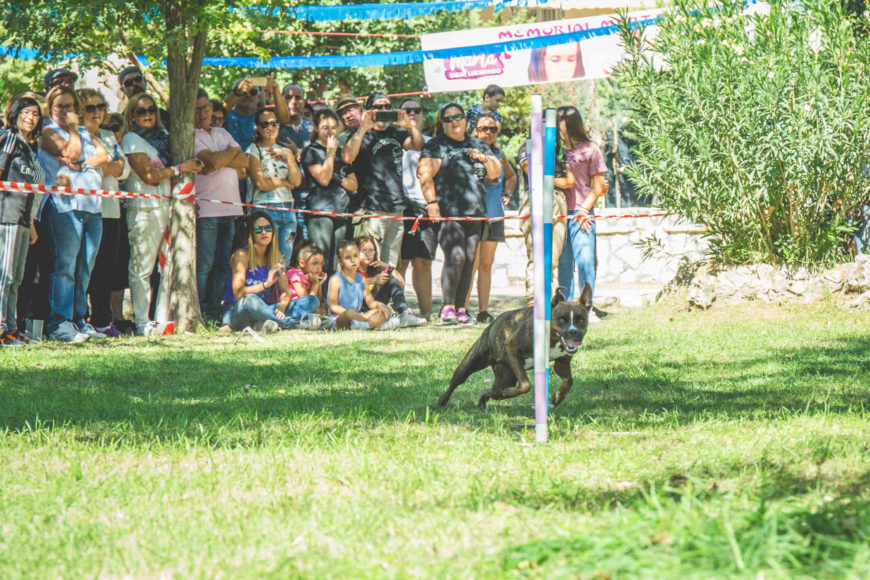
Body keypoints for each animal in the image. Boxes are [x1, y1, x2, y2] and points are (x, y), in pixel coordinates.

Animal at [438, 283, 592, 410]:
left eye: (581, 320)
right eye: (561, 320)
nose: (573, 332)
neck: (552, 337)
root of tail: (492, 324)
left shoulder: (562, 364)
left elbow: (568, 382)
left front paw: (556, 399)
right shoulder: (511, 349)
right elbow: (525, 385)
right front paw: (508, 393)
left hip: (506, 376)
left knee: (491, 390)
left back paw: (486, 399)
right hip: (469, 365)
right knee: (455, 383)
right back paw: (441, 402)